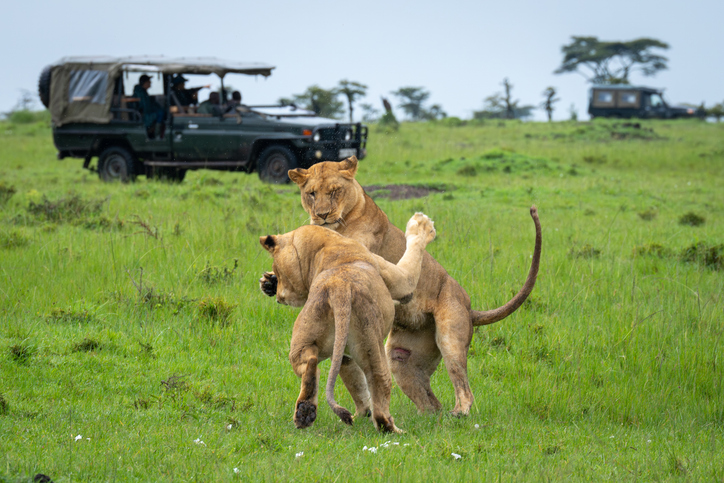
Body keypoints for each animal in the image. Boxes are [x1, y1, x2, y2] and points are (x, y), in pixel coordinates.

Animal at [260, 212, 437, 432]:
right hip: (373, 344)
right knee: (379, 386)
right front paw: (421, 224)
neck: (327, 244)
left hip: (304, 341)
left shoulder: (344, 355)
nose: (279, 297)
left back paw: (306, 411)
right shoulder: (404, 283)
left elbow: (356, 384)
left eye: (277, 269)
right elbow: (414, 250)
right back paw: (395, 430)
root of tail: (340, 287)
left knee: (309, 364)